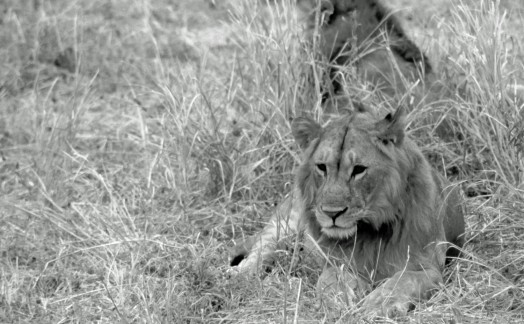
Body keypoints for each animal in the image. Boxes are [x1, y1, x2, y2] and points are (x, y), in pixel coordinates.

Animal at [229, 105, 462, 318]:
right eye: (322, 167)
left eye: (359, 169)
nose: (332, 213)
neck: (371, 231)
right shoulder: (336, 261)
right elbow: (331, 276)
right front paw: (338, 299)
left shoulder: (429, 268)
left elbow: (404, 280)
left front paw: (378, 304)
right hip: (285, 223)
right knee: (262, 248)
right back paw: (238, 275)